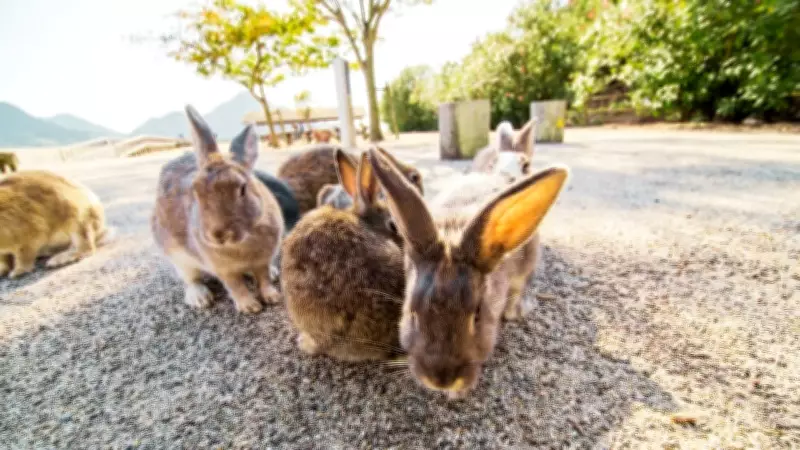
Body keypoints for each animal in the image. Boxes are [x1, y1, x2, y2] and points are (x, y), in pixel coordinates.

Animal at [151, 105, 284, 314]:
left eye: (242, 189)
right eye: (195, 191)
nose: (218, 235)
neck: (242, 242)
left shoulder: (262, 260)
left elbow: (262, 278)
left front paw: (272, 296)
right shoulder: (224, 270)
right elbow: (235, 286)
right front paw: (250, 306)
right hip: (177, 257)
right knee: (191, 280)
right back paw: (200, 298)